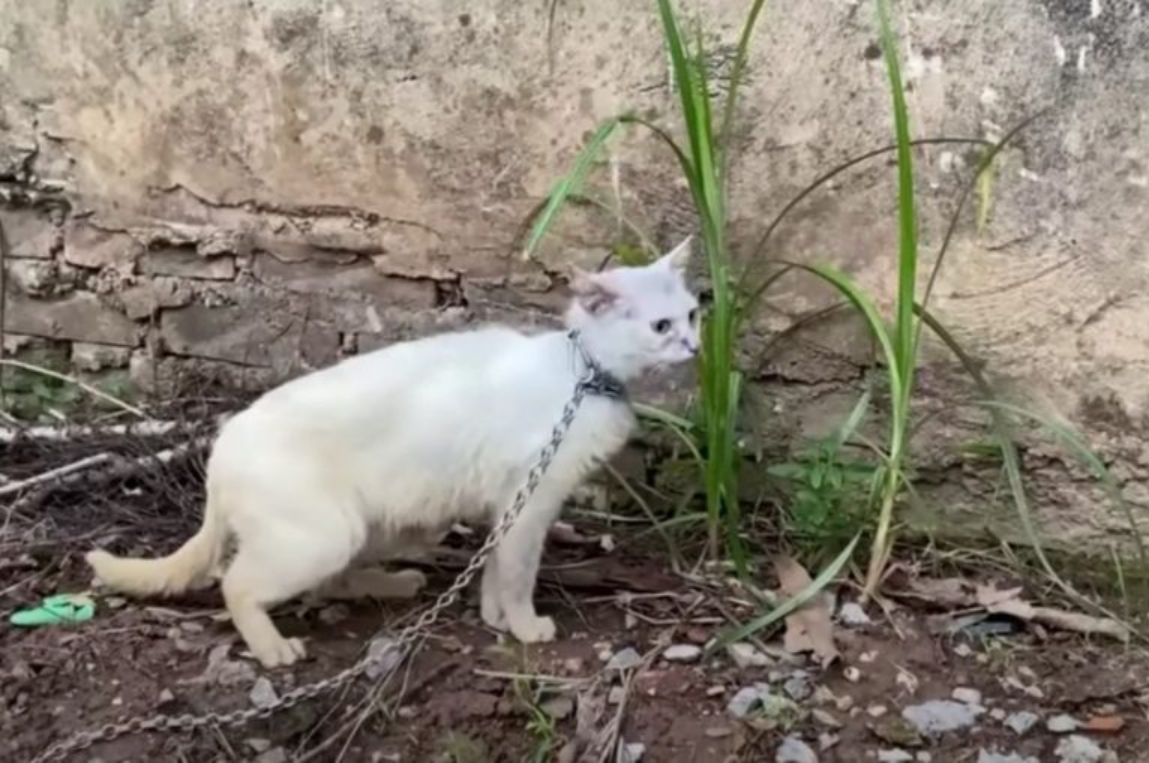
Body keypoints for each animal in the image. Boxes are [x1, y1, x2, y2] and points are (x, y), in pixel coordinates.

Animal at [85, 235, 693, 666]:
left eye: (693, 314)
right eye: (661, 326)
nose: (693, 345)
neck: (585, 375)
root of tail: (221, 447)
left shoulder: (507, 506)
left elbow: (494, 570)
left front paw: (495, 619)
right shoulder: (530, 504)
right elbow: (517, 575)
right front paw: (525, 627)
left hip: (384, 527)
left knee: (331, 581)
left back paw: (396, 585)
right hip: (327, 534)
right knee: (238, 584)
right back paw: (273, 649)